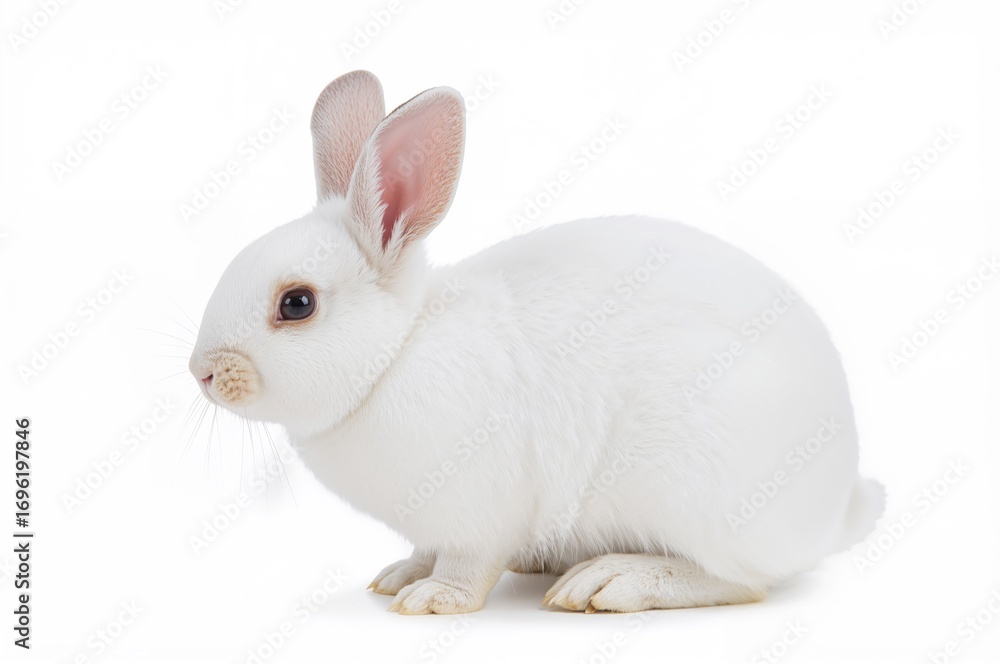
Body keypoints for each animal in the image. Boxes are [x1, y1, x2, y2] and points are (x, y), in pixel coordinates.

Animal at [189, 70, 885, 615]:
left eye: (296, 303)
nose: (202, 373)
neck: (396, 354)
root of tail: (833, 514)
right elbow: (425, 550)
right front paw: (399, 576)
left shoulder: (479, 511)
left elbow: (467, 565)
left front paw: (433, 598)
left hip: (697, 495)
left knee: (739, 581)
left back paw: (607, 581)